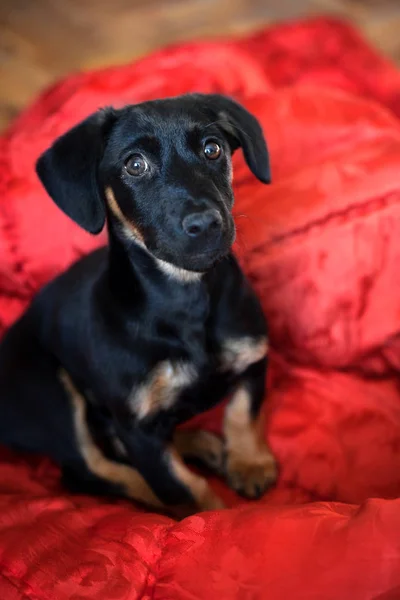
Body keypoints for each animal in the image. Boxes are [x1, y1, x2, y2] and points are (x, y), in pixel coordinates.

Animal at [0, 95, 276, 516]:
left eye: (212, 149)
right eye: (135, 165)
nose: (205, 224)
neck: (186, 301)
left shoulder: (253, 355)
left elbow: (244, 412)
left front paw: (249, 463)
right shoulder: (136, 426)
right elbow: (182, 488)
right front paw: (212, 518)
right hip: (51, 394)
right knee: (92, 470)